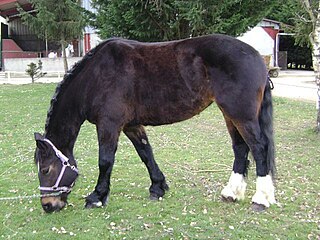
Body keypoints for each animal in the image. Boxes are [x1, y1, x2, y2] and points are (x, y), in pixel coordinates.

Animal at [33, 33, 276, 212]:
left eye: (45, 169)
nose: (48, 205)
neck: (95, 77)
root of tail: (258, 59)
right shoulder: (131, 125)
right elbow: (146, 153)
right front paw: (158, 187)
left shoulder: (109, 124)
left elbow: (105, 160)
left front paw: (97, 196)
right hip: (230, 115)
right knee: (241, 148)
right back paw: (231, 193)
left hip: (241, 115)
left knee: (259, 148)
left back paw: (260, 199)